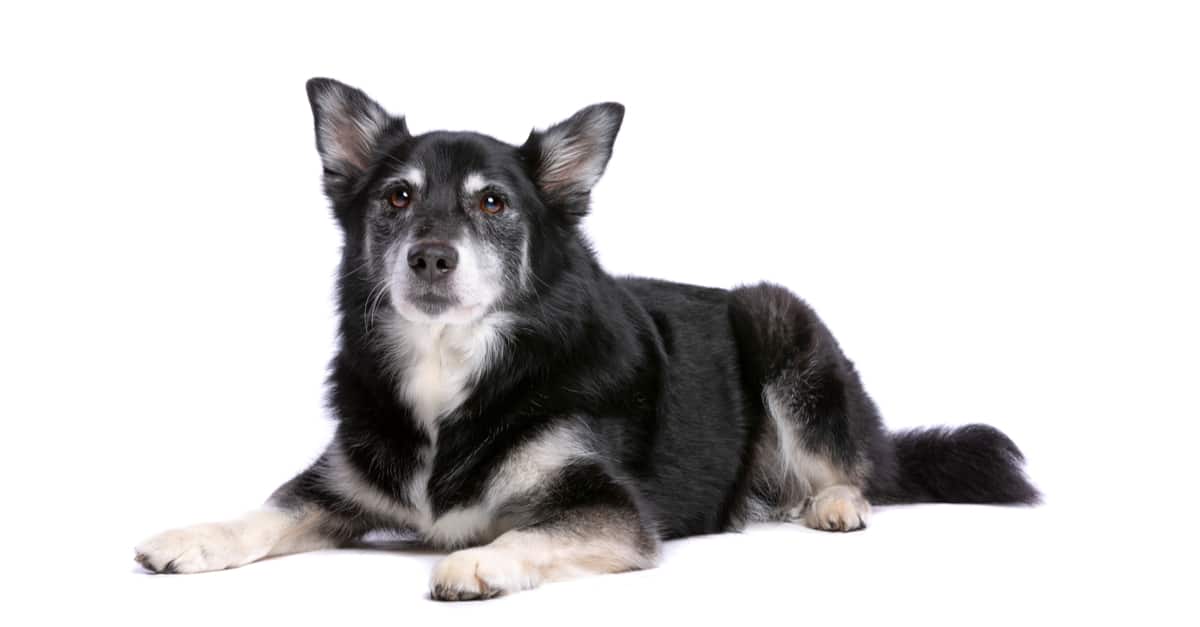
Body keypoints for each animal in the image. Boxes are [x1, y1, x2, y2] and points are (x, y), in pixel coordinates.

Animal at [133, 76, 1041, 595]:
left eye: (493, 202)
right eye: (396, 196)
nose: (430, 257)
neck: (454, 370)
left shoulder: (609, 509)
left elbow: (534, 530)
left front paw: (478, 561)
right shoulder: (342, 484)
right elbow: (267, 510)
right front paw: (193, 536)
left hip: (778, 320)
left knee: (860, 467)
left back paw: (837, 501)